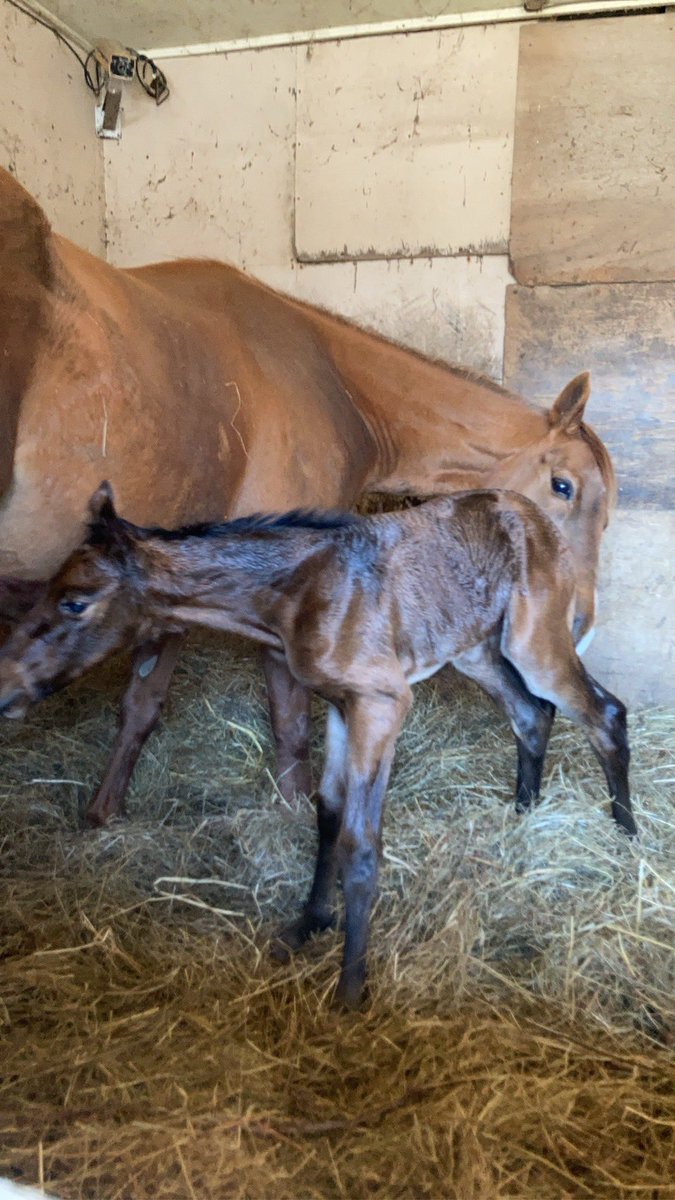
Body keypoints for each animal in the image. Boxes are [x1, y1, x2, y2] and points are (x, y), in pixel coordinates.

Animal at [0, 165, 615, 826]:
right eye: (563, 486)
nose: (578, 622)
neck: (335, 386)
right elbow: (289, 714)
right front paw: (296, 805)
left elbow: (143, 701)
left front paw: (103, 813)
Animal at [0, 483, 635, 1009]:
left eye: (75, 601)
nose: (6, 689)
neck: (298, 594)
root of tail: (537, 517)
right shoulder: (337, 702)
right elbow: (327, 810)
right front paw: (307, 925)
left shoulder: (382, 702)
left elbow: (360, 840)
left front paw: (351, 987)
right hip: (475, 649)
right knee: (531, 714)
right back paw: (523, 817)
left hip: (534, 640)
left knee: (603, 713)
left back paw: (626, 840)